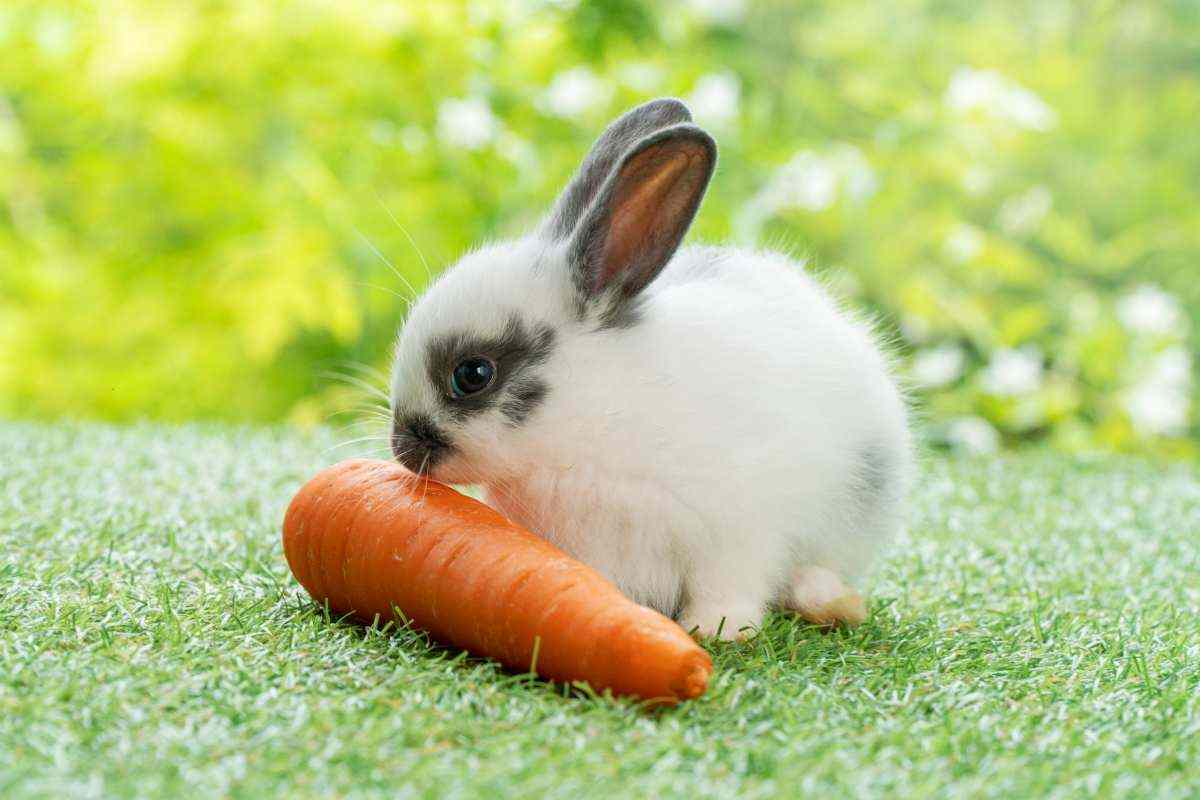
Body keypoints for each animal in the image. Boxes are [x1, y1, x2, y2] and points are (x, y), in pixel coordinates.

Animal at [388, 97, 912, 642]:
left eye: (472, 374)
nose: (401, 449)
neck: (588, 425)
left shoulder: (739, 531)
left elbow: (730, 585)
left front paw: (716, 630)